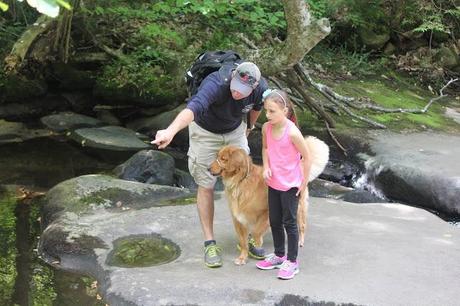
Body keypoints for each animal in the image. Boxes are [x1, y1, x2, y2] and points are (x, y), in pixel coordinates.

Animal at [210, 135, 328, 264]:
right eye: (217, 156)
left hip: (297, 208)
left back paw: (300, 241)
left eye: (223, 159)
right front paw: (243, 257)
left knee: (302, 225)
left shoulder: (266, 212)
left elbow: (256, 232)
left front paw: (257, 246)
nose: (208, 168)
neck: (240, 181)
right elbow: (243, 241)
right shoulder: (238, 219)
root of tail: (299, 167)